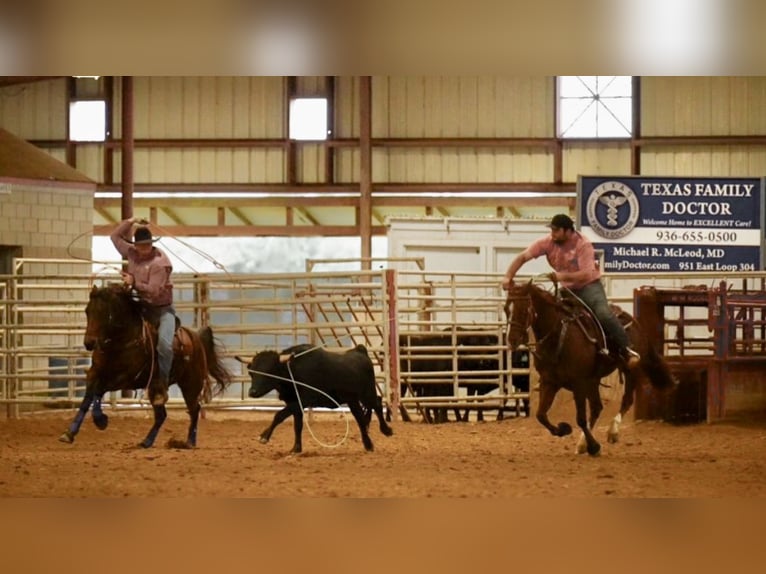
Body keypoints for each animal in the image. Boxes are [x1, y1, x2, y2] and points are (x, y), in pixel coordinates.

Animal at [59, 284, 234, 450]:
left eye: (105, 313)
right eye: (87, 311)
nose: (89, 343)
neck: (120, 342)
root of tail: (196, 337)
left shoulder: (125, 379)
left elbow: (99, 391)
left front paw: (101, 420)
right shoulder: (94, 373)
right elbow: (87, 398)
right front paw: (69, 433)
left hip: (190, 385)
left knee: (194, 410)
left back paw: (189, 442)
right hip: (156, 388)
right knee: (162, 415)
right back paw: (147, 441)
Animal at [508, 280, 676, 460]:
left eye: (524, 309)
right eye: (506, 309)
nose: (512, 340)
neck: (559, 337)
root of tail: (633, 320)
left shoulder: (579, 383)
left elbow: (580, 419)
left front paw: (594, 446)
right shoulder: (549, 382)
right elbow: (541, 415)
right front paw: (564, 429)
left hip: (629, 370)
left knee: (627, 399)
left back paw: (612, 431)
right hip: (593, 380)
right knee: (597, 407)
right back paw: (583, 443)